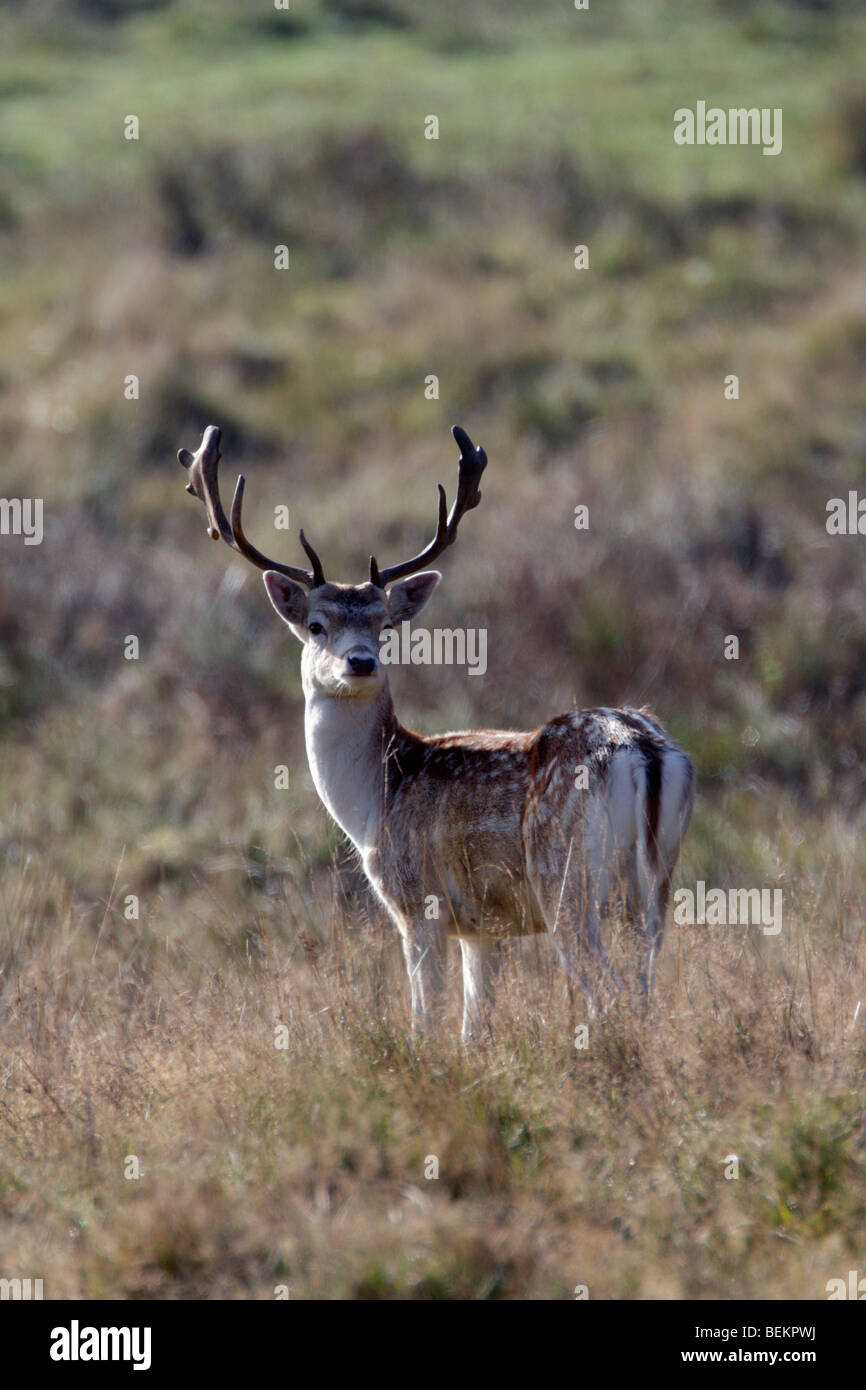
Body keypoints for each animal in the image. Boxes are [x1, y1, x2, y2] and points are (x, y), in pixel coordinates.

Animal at [179, 422, 695, 1045]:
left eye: (384, 625)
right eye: (317, 625)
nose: (360, 662)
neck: (375, 801)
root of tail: (643, 751)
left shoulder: (417, 903)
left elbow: (425, 1022)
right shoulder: (482, 925)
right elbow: (477, 1026)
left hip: (565, 879)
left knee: (614, 993)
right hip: (657, 881)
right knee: (646, 987)